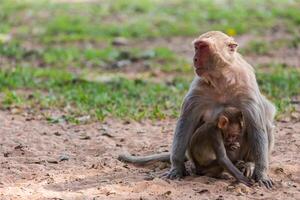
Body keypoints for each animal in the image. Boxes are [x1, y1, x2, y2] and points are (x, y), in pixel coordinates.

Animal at [168, 30, 276, 188]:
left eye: (203, 47)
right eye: (196, 47)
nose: (195, 59)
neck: (222, 80)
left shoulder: (246, 86)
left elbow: (256, 126)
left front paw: (261, 173)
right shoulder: (198, 88)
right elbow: (186, 122)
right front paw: (177, 167)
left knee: (264, 124)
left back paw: (247, 164)